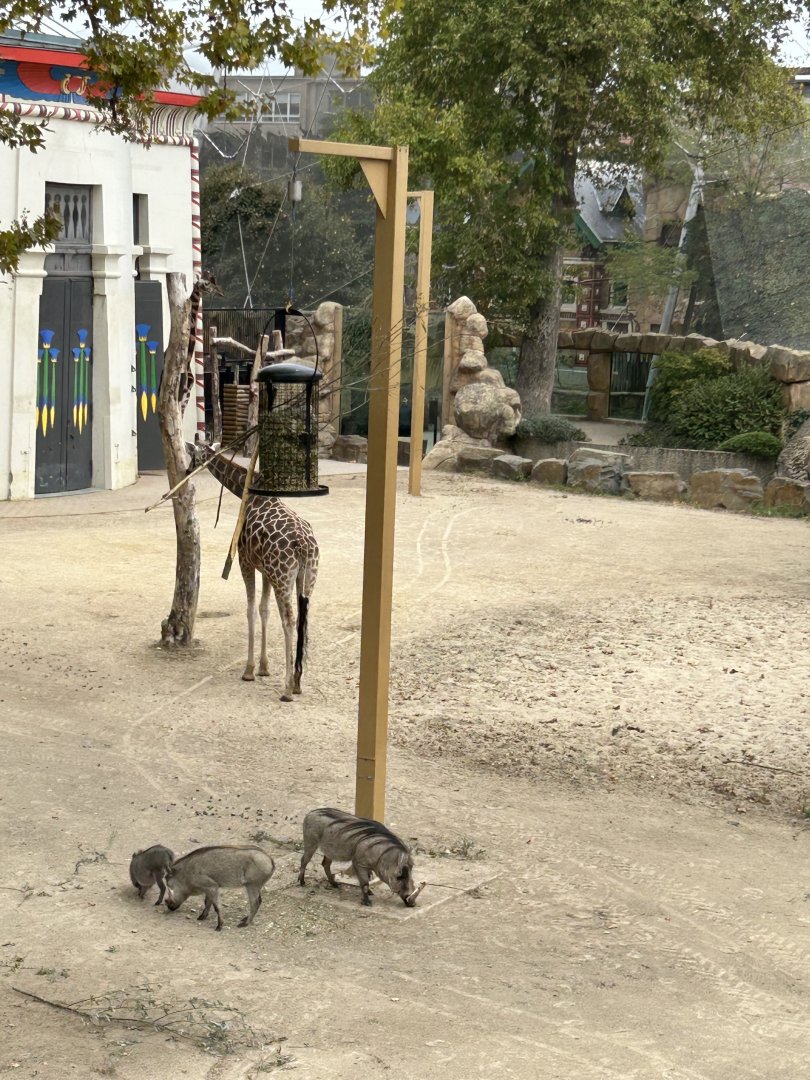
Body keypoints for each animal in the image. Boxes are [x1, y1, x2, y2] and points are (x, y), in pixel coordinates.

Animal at [189, 444, 319, 701]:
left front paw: (249, 670)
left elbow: (250, 610)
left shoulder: (245, 562)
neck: (247, 493)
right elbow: (263, 609)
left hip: (283, 578)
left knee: (289, 620)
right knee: (303, 618)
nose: (186, 471)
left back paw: (287, 689)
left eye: (192, 457)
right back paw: (298, 683)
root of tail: (304, 546)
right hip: (307, 578)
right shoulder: (265, 570)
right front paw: (263, 667)